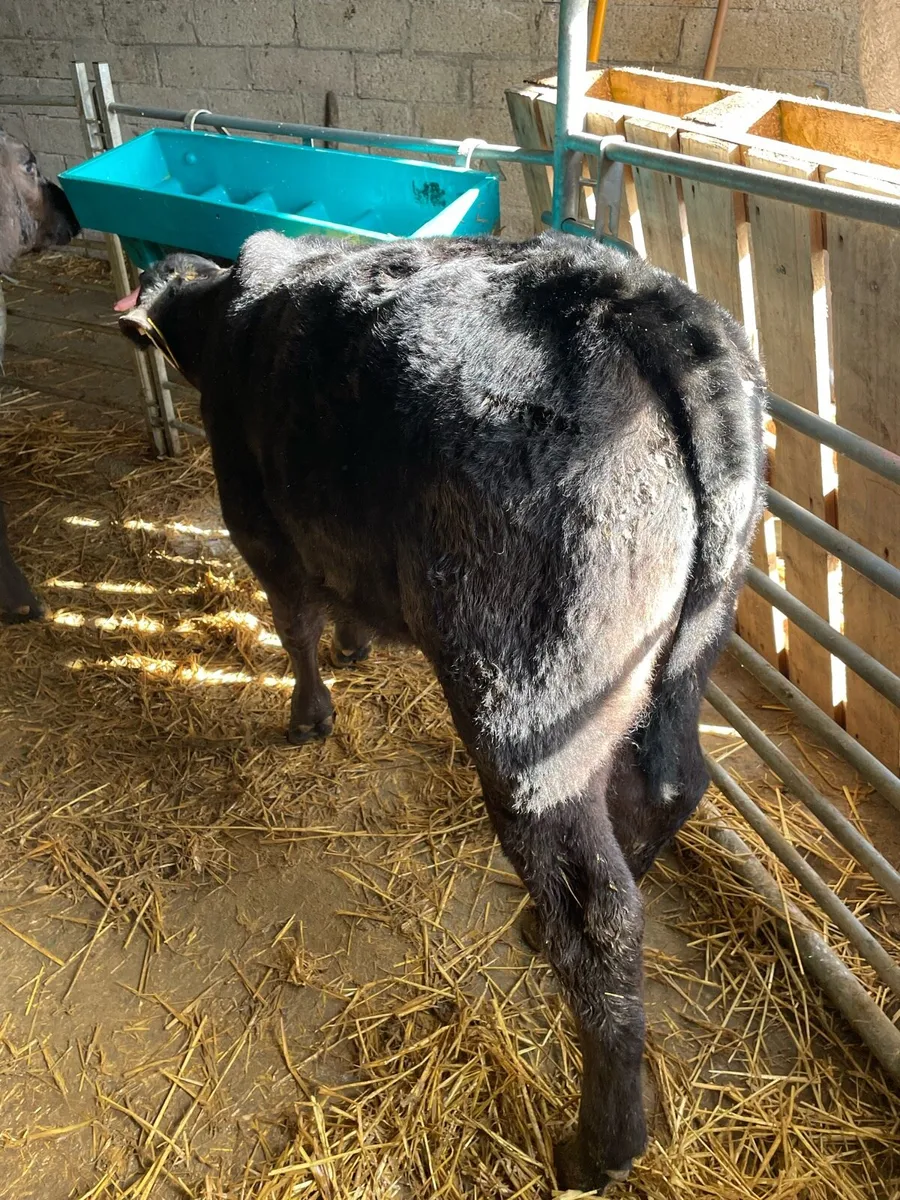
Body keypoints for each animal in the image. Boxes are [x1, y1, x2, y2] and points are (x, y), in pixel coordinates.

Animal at [115, 230, 766, 1194]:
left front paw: (310, 712)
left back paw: (596, 1148)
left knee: (600, 916)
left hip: (529, 710)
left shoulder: (262, 524)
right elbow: (343, 605)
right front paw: (357, 647)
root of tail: (636, 301)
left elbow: (295, 621)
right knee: (671, 784)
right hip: (691, 647)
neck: (232, 311)